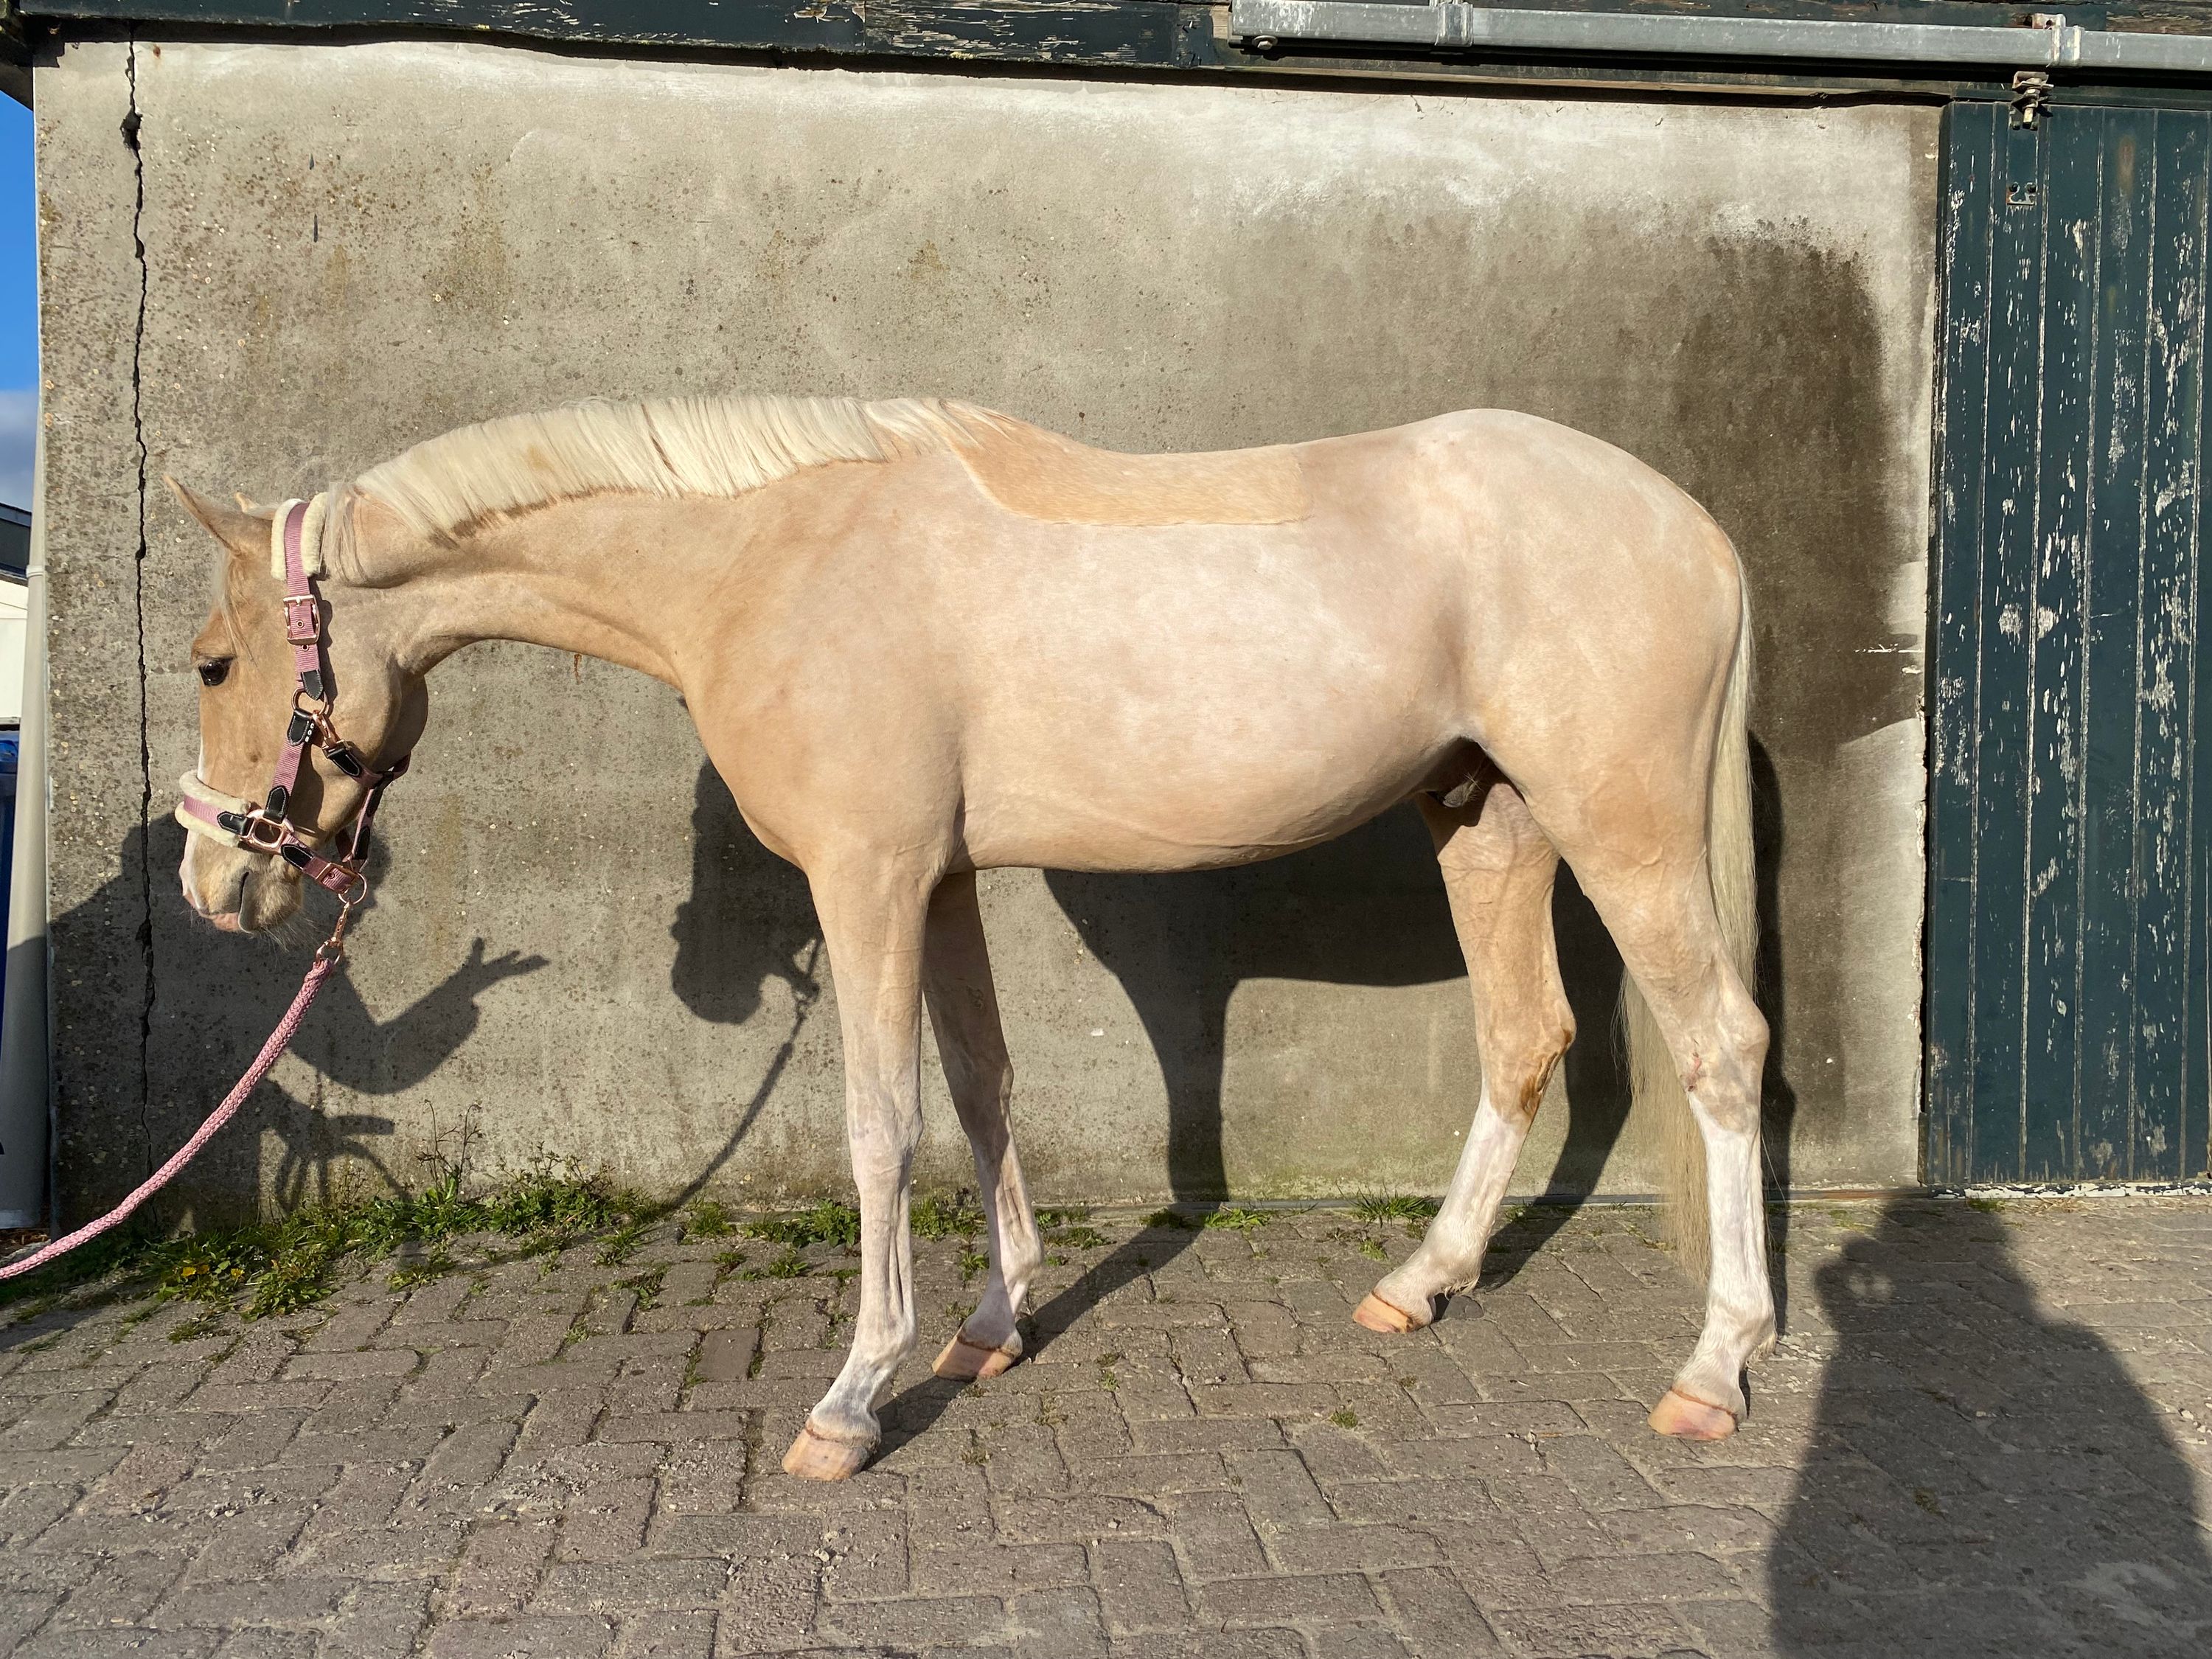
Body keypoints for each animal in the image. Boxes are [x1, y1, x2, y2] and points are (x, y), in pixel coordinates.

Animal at [169, 393, 1766, 1481]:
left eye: (214, 662)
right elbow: (988, 1088)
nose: (211, 886)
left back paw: (1714, 1367)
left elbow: (884, 1124)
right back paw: (1419, 1287)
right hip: (1487, 819)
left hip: (1622, 830)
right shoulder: (936, 884)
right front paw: (992, 1328)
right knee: (1523, 1036)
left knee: (1721, 1051)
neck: (768, 561)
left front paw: (852, 1400)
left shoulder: (869, 879)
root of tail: (1697, 528)